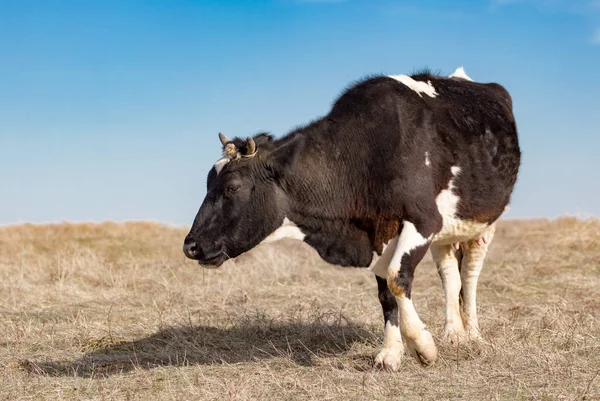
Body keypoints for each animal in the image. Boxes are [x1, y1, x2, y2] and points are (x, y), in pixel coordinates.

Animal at [182, 65, 520, 368]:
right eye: (208, 183)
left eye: (233, 187)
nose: (191, 246)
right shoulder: (379, 232)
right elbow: (385, 294)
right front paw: (391, 354)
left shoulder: (424, 221)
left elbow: (398, 279)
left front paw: (422, 346)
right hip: (447, 232)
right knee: (450, 274)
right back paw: (454, 334)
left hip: (483, 224)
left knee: (470, 275)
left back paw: (472, 335)